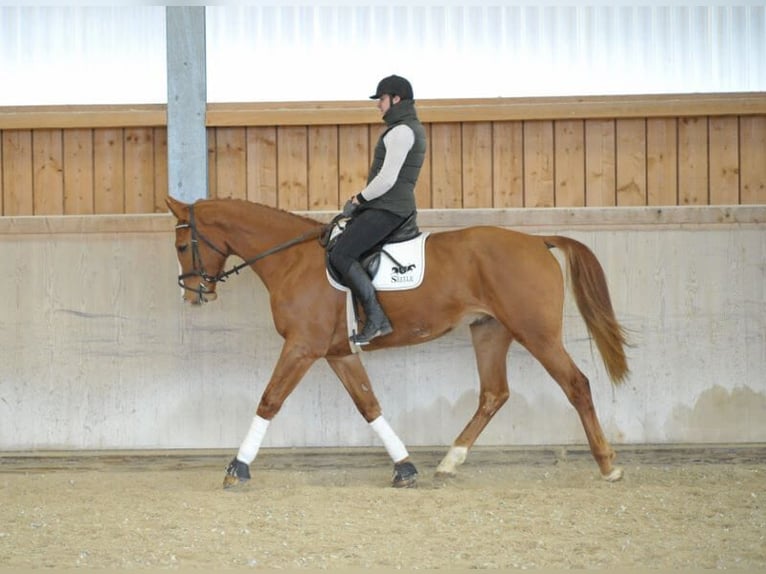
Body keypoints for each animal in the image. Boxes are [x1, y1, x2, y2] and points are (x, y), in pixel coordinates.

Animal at [168, 198, 632, 490]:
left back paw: (608, 466)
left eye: (181, 244)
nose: (193, 295)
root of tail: (537, 240)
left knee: (576, 385)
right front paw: (405, 468)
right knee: (493, 394)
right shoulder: (338, 353)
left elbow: (269, 401)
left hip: (535, 332)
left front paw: (237, 468)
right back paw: (449, 461)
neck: (292, 260)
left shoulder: (302, 347)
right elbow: (369, 405)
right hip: (488, 330)